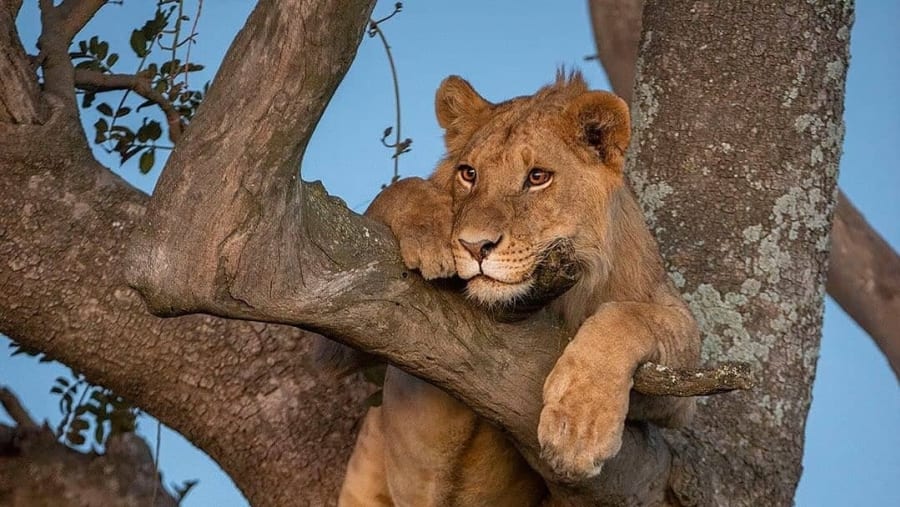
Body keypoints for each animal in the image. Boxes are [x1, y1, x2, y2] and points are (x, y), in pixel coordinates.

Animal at [321, 71, 701, 506]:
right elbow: (398, 190)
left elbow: (626, 318)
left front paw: (579, 427)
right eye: (468, 173)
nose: (474, 246)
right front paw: (430, 226)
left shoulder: (678, 385)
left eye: (537, 177)